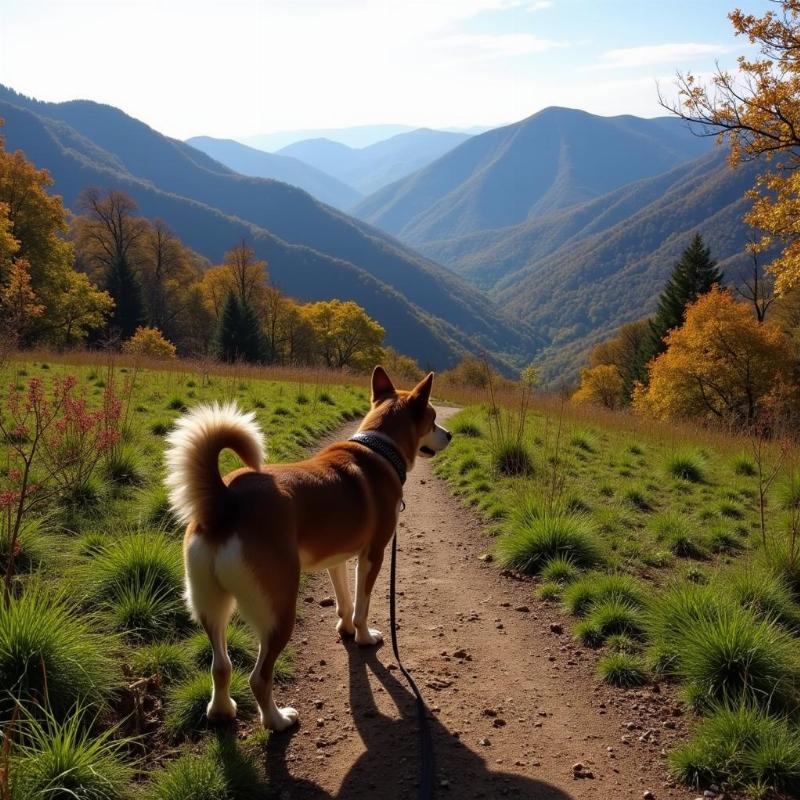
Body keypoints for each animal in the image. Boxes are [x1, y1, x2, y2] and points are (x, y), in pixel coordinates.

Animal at [164, 368, 450, 732]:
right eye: (433, 419)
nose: (450, 434)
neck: (378, 448)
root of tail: (225, 502)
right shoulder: (373, 555)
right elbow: (361, 606)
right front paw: (363, 637)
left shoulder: (336, 559)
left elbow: (345, 600)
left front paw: (345, 629)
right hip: (280, 610)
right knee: (259, 677)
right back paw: (277, 720)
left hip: (210, 605)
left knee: (220, 665)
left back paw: (221, 710)